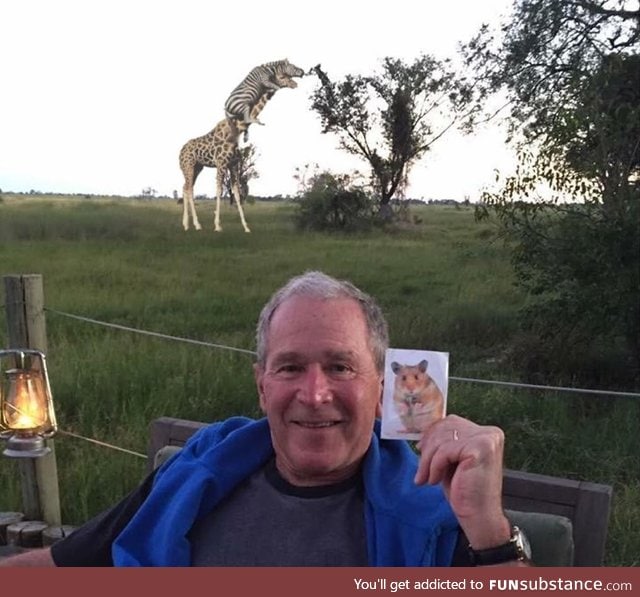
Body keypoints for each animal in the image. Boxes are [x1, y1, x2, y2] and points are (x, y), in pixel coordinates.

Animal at [178, 75, 298, 233]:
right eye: (283, 77)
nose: (294, 83)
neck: (237, 129)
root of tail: (180, 152)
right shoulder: (221, 164)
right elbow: (219, 190)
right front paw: (217, 226)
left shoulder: (233, 165)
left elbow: (236, 192)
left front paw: (246, 227)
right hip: (189, 166)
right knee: (189, 189)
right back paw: (196, 225)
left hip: (198, 167)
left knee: (186, 188)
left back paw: (186, 224)